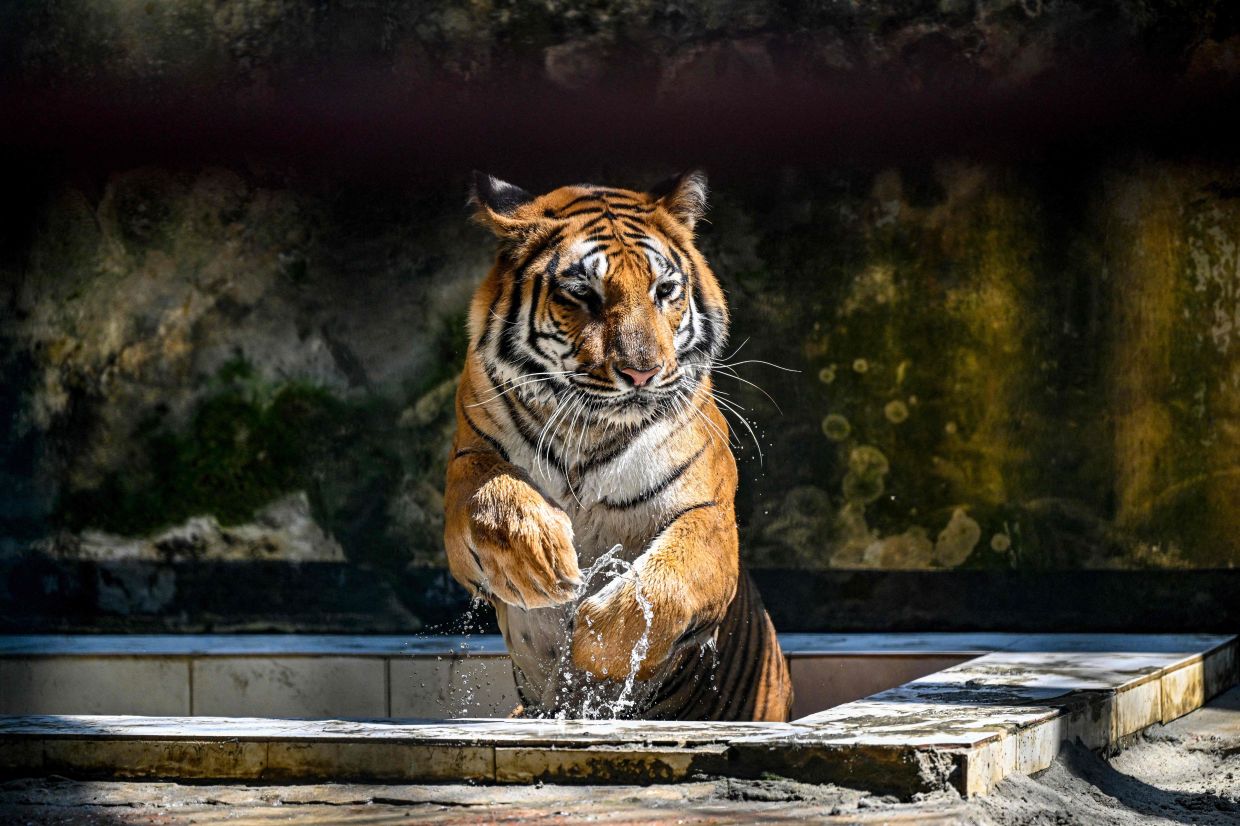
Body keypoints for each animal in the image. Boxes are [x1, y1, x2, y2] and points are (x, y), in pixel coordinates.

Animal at [442, 170, 792, 722]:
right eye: (583, 294)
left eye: (665, 290)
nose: (642, 372)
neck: (587, 429)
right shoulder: (468, 458)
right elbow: (487, 493)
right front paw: (542, 561)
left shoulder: (710, 513)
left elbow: (668, 582)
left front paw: (590, 645)